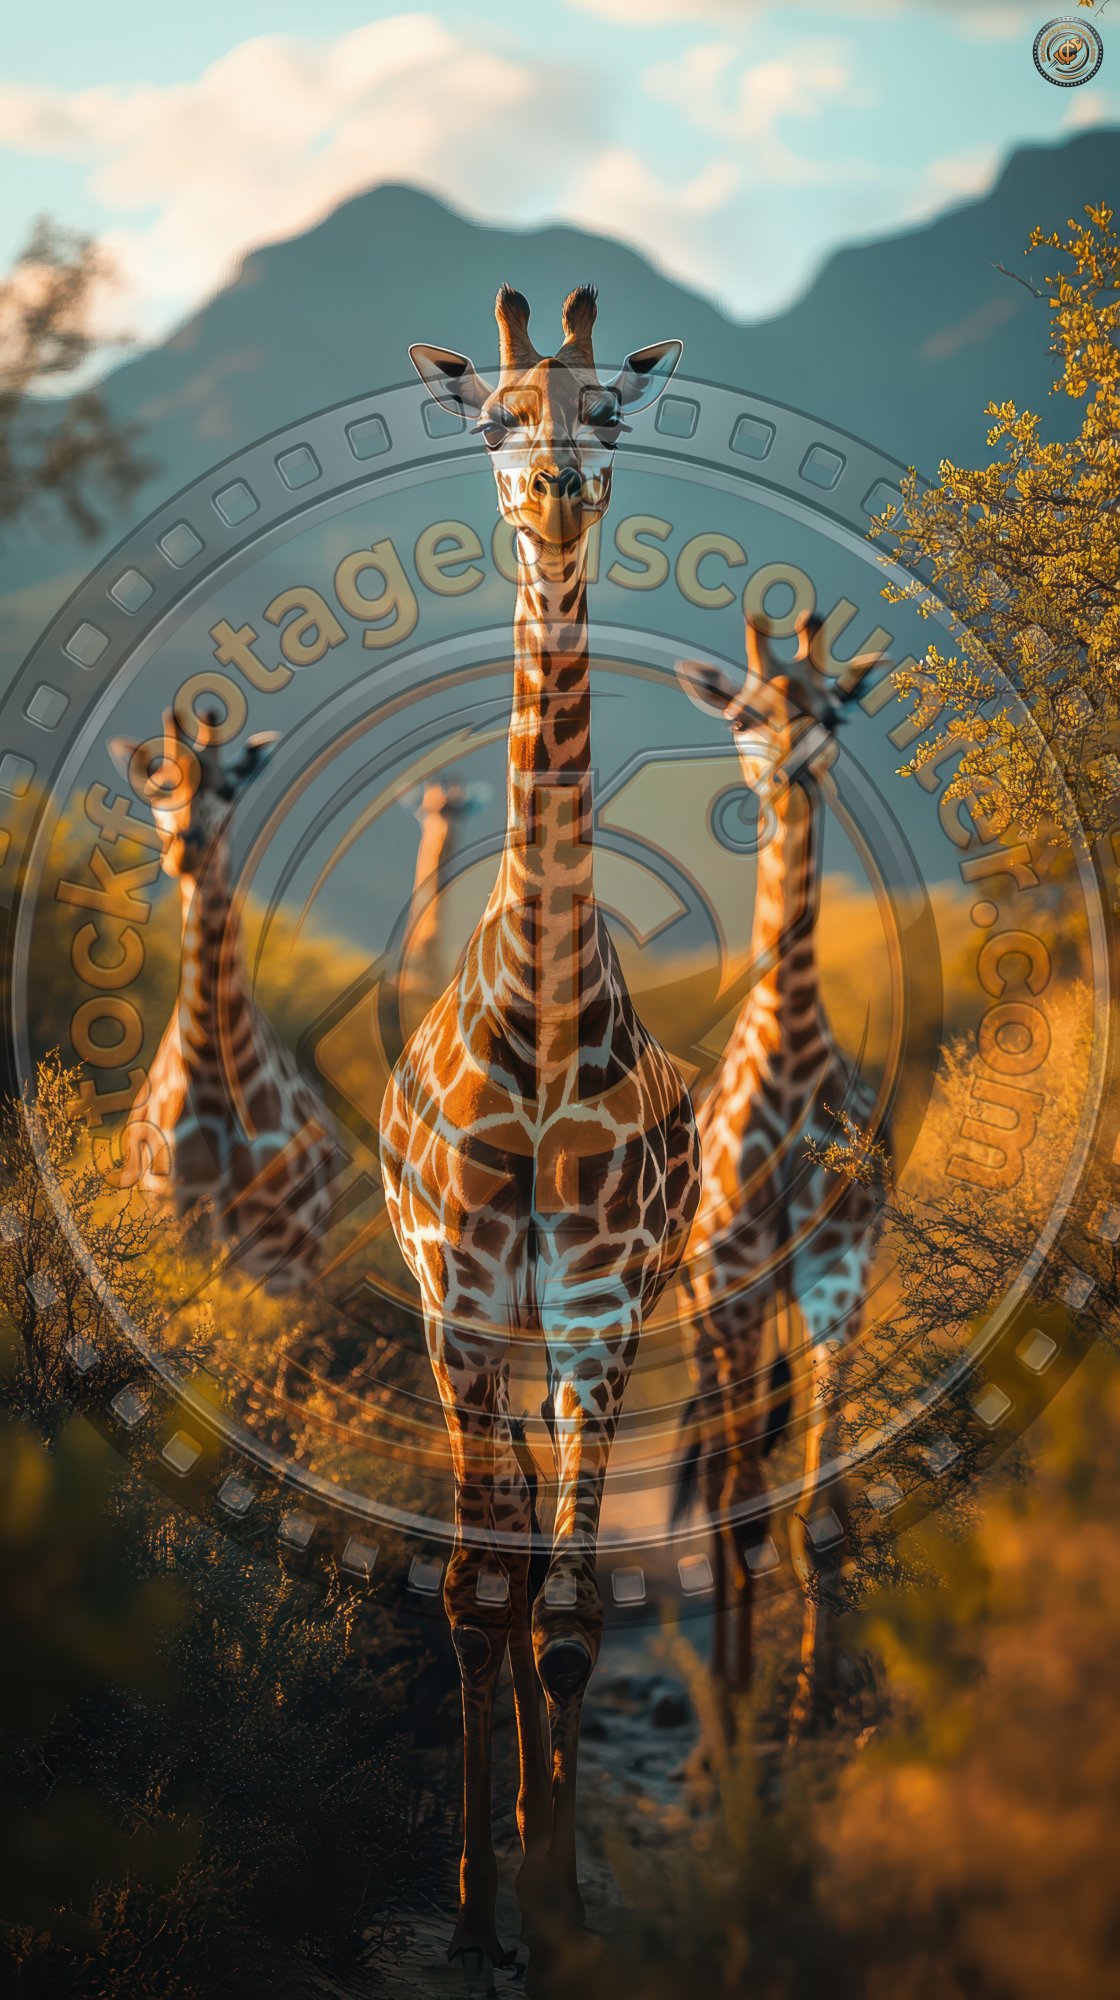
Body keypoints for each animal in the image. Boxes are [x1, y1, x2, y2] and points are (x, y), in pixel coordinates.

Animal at [107, 709, 341, 1294]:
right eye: (160, 785)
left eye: (229, 787)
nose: (186, 847)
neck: (214, 1071)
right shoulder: (171, 1211)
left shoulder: (259, 1244)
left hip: (293, 1266)